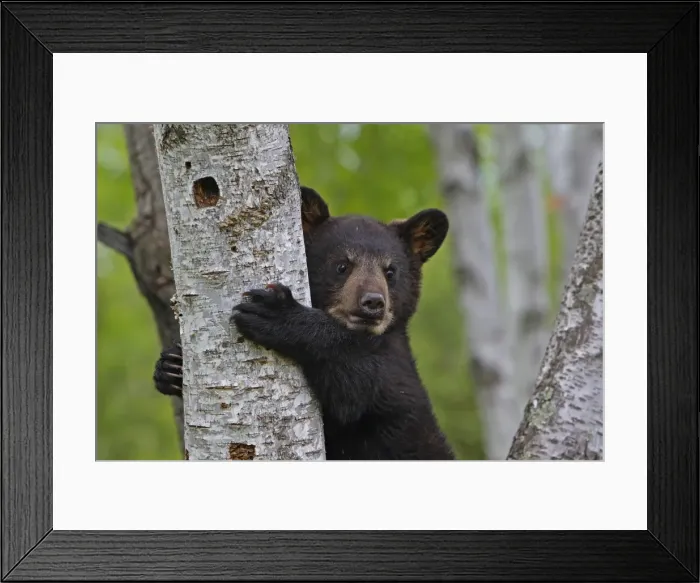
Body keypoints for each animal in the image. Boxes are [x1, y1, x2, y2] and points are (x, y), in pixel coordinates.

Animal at [154, 186, 455, 461]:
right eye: (342, 266)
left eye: (390, 271)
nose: (373, 302)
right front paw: (171, 366)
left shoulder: (392, 374)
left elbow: (356, 381)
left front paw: (277, 314)